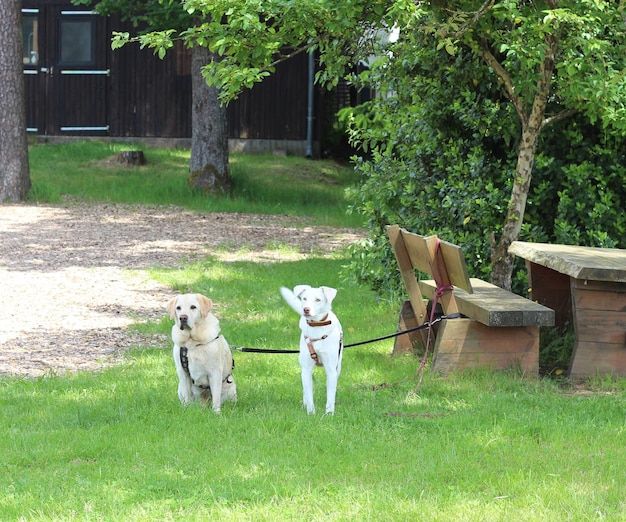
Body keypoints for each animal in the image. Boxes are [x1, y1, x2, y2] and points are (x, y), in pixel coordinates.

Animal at [280, 282, 344, 412]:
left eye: (318, 300)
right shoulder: (306, 369)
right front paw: (311, 413)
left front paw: (329, 413)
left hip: (338, 366)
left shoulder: (331, 370)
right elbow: (309, 395)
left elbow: (330, 396)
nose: (306, 309)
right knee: (305, 389)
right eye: (304, 298)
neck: (317, 326)